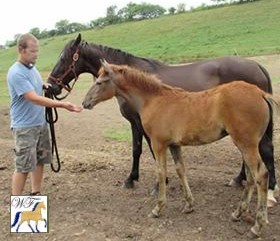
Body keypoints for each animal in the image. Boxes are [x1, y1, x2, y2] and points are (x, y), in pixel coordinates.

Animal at [47, 34, 276, 205]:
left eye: (64, 58)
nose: (50, 86)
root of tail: (257, 66)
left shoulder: (143, 124)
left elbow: (148, 151)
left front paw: (158, 183)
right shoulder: (135, 123)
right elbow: (136, 150)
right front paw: (132, 179)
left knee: (262, 150)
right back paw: (239, 179)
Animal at [82, 61, 278, 237]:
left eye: (99, 82)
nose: (85, 103)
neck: (154, 100)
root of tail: (260, 93)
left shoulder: (158, 143)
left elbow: (161, 172)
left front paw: (158, 208)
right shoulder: (174, 145)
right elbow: (180, 170)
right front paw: (189, 205)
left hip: (246, 144)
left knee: (261, 175)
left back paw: (257, 226)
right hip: (245, 145)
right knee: (251, 176)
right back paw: (237, 213)